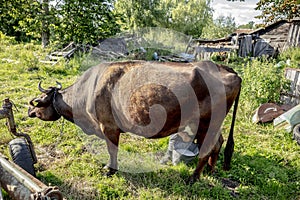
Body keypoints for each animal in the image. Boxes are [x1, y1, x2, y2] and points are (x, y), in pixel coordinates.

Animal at [28, 60, 241, 184]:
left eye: (38, 101)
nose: (30, 111)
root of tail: (227, 69)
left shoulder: (109, 126)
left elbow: (112, 150)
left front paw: (110, 170)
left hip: (207, 122)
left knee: (207, 148)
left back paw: (193, 178)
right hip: (213, 124)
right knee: (218, 143)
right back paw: (210, 171)